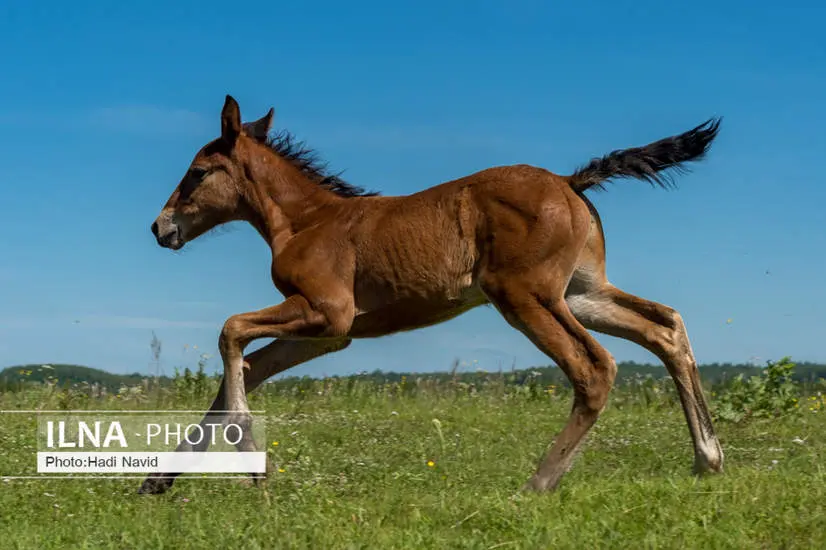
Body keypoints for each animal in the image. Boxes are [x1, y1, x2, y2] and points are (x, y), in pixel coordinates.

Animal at [142, 95, 720, 496]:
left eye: (196, 173)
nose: (160, 227)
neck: (307, 221)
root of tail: (569, 181)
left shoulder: (327, 314)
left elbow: (229, 332)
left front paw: (253, 464)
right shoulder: (327, 336)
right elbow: (242, 369)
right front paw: (158, 480)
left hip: (526, 297)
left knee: (595, 367)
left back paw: (537, 484)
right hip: (581, 294)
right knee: (664, 326)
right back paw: (708, 459)